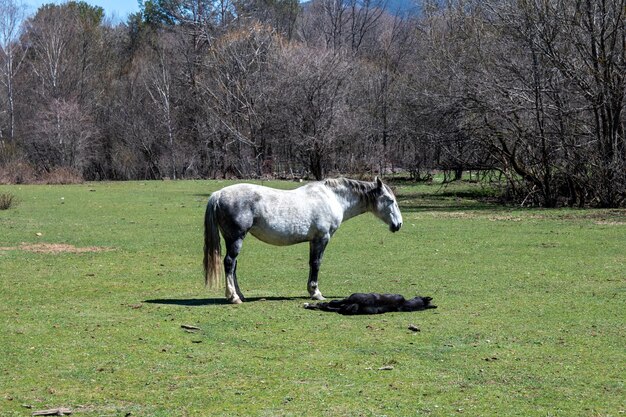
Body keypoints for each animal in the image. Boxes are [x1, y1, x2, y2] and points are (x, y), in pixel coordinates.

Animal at [202, 176, 402, 302]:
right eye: (390, 200)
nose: (398, 224)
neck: (332, 198)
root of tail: (219, 194)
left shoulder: (314, 241)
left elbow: (312, 263)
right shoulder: (322, 238)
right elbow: (316, 263)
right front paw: (316, 293)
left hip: (232, 239)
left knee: (233, 265)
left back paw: (240, 294)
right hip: (236, 238)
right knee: (229, 263)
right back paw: (234, 297)